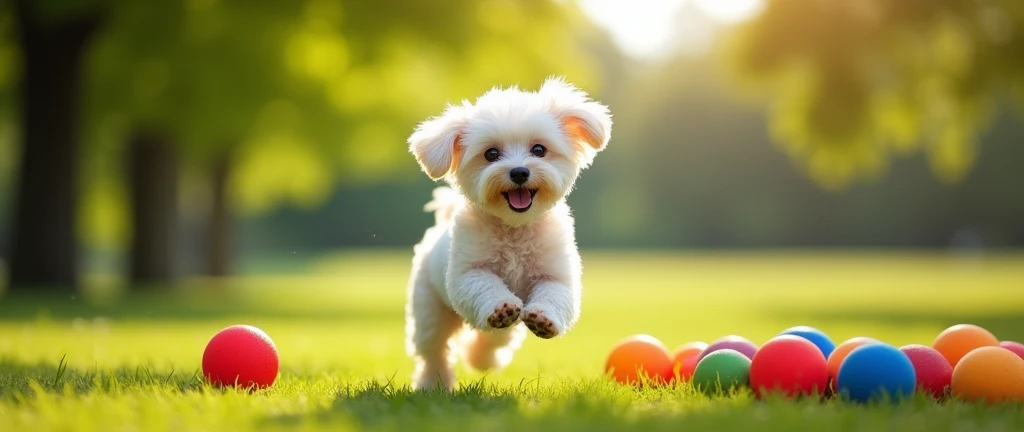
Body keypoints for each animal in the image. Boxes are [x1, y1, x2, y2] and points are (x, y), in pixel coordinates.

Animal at [399, 77, 606, 391]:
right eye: (491, 154)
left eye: (539, 150)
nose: (519, 172)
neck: (514, 229)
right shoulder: (467, 274)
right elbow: (485, 286)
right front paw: (500, 307)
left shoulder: (556, 274)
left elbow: (555, 295)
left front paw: (543, 318)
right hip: (429, 308)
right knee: (434, 349)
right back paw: (432, 383)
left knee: (494, 339)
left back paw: (482, 358)